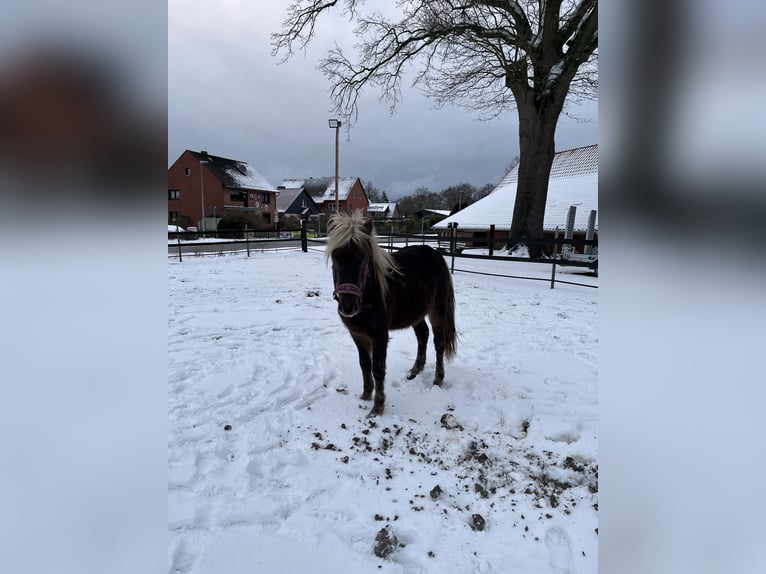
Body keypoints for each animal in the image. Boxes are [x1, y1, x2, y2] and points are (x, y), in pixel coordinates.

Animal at [325, 211, 457, 416]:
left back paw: (438, 379)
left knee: (439, 343)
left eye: (363, 258)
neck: (371, 294)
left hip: (438, 311)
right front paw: (365, 395)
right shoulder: (357, 335)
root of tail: (437, 254)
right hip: (415, 313)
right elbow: (364, 364)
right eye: (335, 257)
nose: (348, 306)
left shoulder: (379, 335)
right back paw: (415, 370)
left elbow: (378, 368)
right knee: (423, 335)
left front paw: (377, 407)